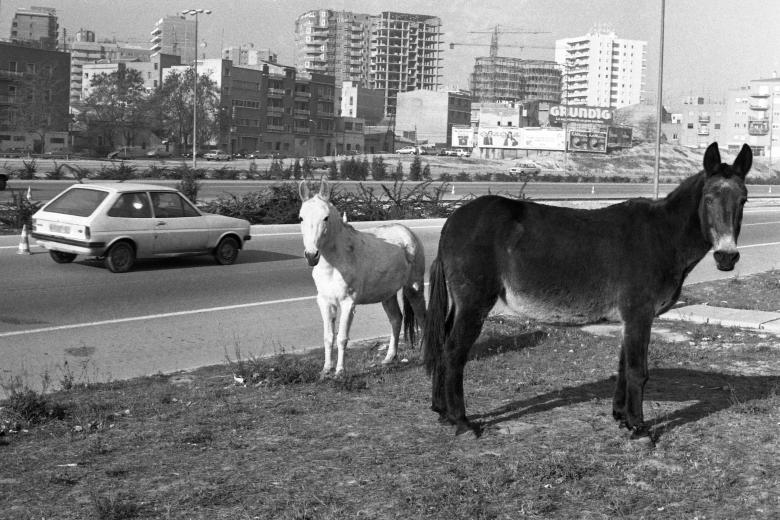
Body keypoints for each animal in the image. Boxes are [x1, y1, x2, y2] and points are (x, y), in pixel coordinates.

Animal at [298, 181, 426, 376]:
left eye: (326, 218)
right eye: (301, 218)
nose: (311, 255)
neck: (334, 264)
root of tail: (409, 233)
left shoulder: (348, 303)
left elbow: (342, 338)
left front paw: (339, 371)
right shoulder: (325, 302)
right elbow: (328, 337)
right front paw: (326, 370)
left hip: (414, 288)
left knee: (423, 317)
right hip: (387, 294)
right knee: (396, 320)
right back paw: (389, 358)